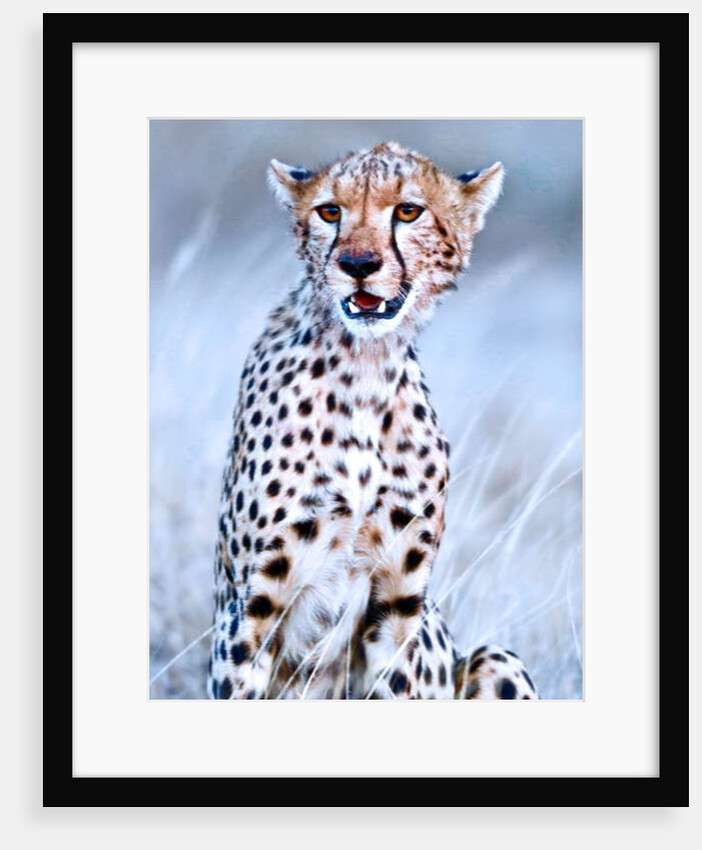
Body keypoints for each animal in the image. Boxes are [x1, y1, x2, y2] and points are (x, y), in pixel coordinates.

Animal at [207, 141, 538, 700]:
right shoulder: (251, 606)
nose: (357, 263)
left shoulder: (397, 604)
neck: (365, 367)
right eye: (329, 212)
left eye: (407, 211)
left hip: (497, 658)